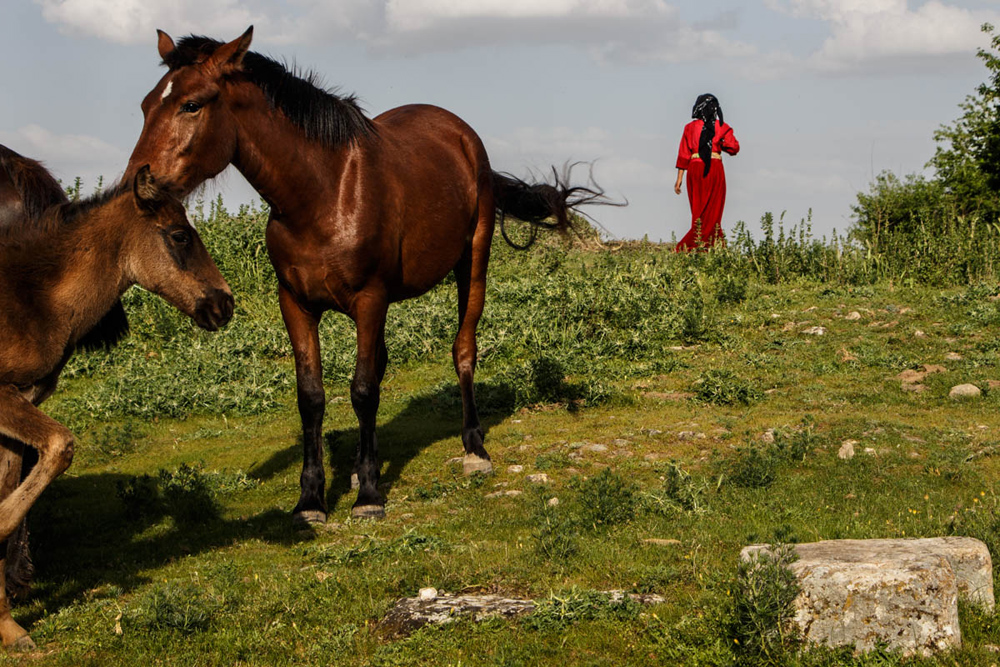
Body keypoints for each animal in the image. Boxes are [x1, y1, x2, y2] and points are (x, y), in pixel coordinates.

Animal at [0, 147, 232, 652]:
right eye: (180, 236)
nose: (225, 304)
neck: (30, 298)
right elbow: (59, 448)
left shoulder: (19, 403)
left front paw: (7, 626)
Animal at [125, 28, 608, 524]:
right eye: (146, 105)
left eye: (191, 105)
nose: (136, 185)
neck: (322, 194)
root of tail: (461, 134)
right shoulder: (295, 304)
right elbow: (312, 396)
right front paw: (312, 499)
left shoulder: (369, 300)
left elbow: (362, 390)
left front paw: (371, 495)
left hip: (472, 266)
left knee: (463, 350)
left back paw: (474, 449)